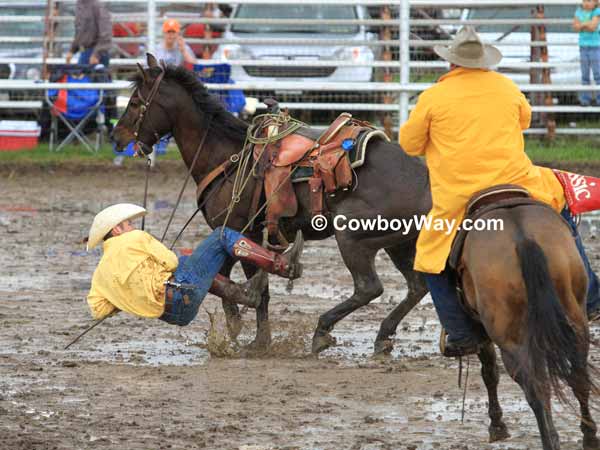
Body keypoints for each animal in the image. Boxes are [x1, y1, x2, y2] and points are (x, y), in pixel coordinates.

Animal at [111, 53, 432, 356]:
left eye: (136, 101)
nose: (117, 137)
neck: (227, 157)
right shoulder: (235, 233)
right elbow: (231, 278)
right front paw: (241, 325)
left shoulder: (243, 231)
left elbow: (254, 288)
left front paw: (254, 337)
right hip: (398, 243)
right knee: (416, 287)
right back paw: (382, 336)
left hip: (353, 238)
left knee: (369, 287)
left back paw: (322, 330)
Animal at [458, 205, 596, 450]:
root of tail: (523, 238)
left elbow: (489, 371)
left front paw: (497, 426)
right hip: (575, 320)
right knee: (578, 377)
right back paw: (588, 437)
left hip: (511, 341)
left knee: (535, 390)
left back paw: (549, 441)